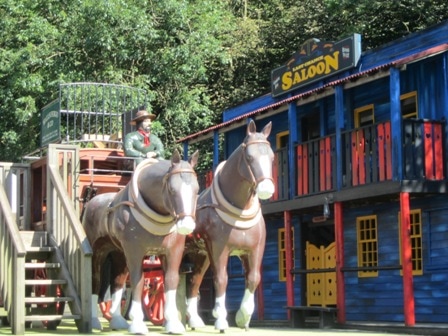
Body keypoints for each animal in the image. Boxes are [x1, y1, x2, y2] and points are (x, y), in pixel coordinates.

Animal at [81, 150, 200, 334]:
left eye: (197, 189)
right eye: (172, 189)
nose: (187, 225)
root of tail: (93, 202)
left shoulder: (173, 251)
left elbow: (170, 280)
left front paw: (173, 323)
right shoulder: (135, 251)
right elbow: (138, 281)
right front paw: (137, 323)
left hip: (119, 253)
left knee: (118, 282)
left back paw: (117, 320)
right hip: (98, 253)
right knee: (96, 281)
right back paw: (94, 321)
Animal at [185, 120, 272, 330]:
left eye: (272, 156)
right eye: (250, 157)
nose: (267, 189)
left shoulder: (255, 249)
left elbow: (253, 278)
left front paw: (243, 317)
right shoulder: (219, 249)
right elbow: (221, 280)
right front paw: (221, 319)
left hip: (200, 255)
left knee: (194, 281)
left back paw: (194, 320)